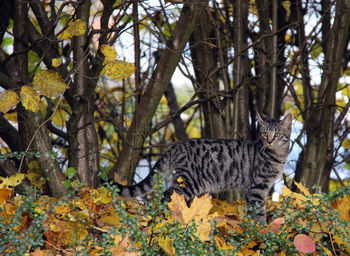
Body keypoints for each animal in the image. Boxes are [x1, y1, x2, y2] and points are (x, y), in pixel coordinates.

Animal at [115, 113, 292, 223]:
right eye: (264, 133)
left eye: (277, 134)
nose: (269, 141)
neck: (278, 156)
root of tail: (176, 146)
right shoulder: (257, 187)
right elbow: (259, 211)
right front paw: (262, 230)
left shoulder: (255, 189)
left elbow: (252, 210)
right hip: (187, 183)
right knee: (166, 198)